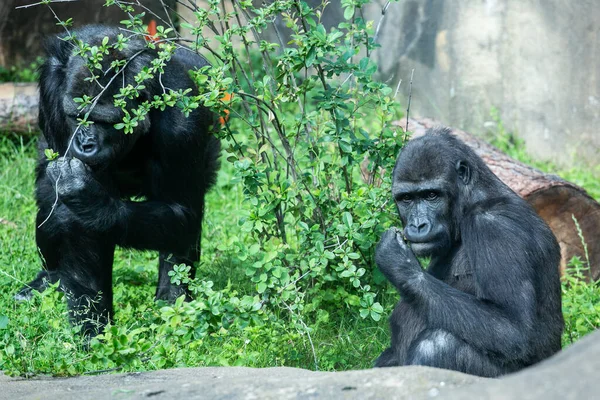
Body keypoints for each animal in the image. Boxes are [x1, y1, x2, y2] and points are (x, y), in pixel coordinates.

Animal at [15, 26, 220, 336]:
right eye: (78, 116)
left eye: (104, 121)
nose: (85, 144)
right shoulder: (50, 87)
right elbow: (67, 215)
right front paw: (91, 327)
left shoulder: (183, 122)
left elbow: (181, 213)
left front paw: (91, 203)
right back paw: (51, 279)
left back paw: (174, 302)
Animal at [376, 129, 564, 378]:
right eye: (407, 198)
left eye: (431, 195)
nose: (418, 225)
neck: (472, 200)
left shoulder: (493, 227)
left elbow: (513, 328)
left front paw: (399, 263)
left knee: (437, 345)